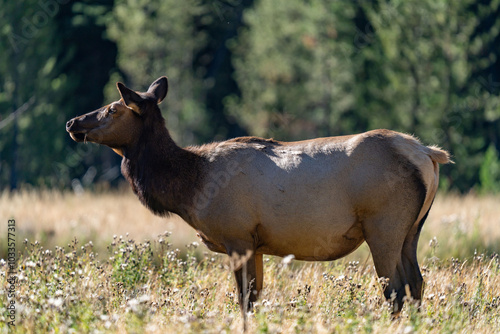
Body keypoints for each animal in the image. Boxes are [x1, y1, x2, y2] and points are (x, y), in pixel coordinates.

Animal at [64, 75, 452, 320]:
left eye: (113, 108)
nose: (72, 123)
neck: (190, 188)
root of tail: (429, 154)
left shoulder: (237, 236)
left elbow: (245, 301)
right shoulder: (258, 242)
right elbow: (256, 298)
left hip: (383, 225)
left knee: (396, 290)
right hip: (412, 230)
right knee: (417, 284)